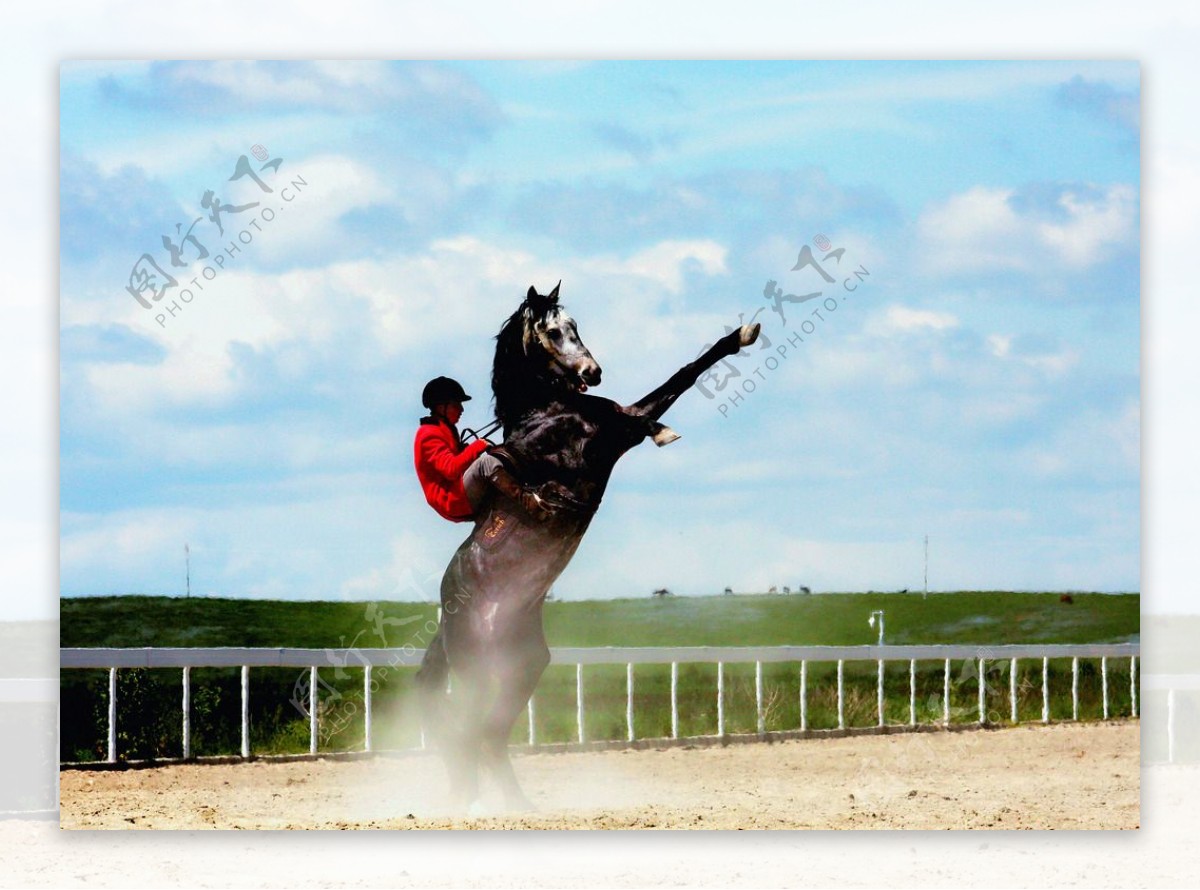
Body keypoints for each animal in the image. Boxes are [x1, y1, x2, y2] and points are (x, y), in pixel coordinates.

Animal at [417, 281, 753, 810]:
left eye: (576, 326)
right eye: (554, 331)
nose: (593, 373)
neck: (543, 414)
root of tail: (447, 619)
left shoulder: (616, 424)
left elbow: (669, 388)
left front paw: (738, 337)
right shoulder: (605, 433)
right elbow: (661, 394)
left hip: (524, 663)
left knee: (487, 737)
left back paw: (517, 807)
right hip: (478, 669)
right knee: (470, 733)